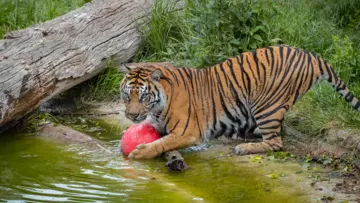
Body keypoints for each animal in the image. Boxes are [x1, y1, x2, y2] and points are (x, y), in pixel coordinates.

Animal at [119, 45, 360, 159]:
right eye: (126, 95)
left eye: (143, 96)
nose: (131, 115)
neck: (159, 105)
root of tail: (311, 56)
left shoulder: (188, 132)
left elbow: (162, 143)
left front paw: (139, 152)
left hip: (266, 105)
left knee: (276, 142)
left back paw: (243, 148)